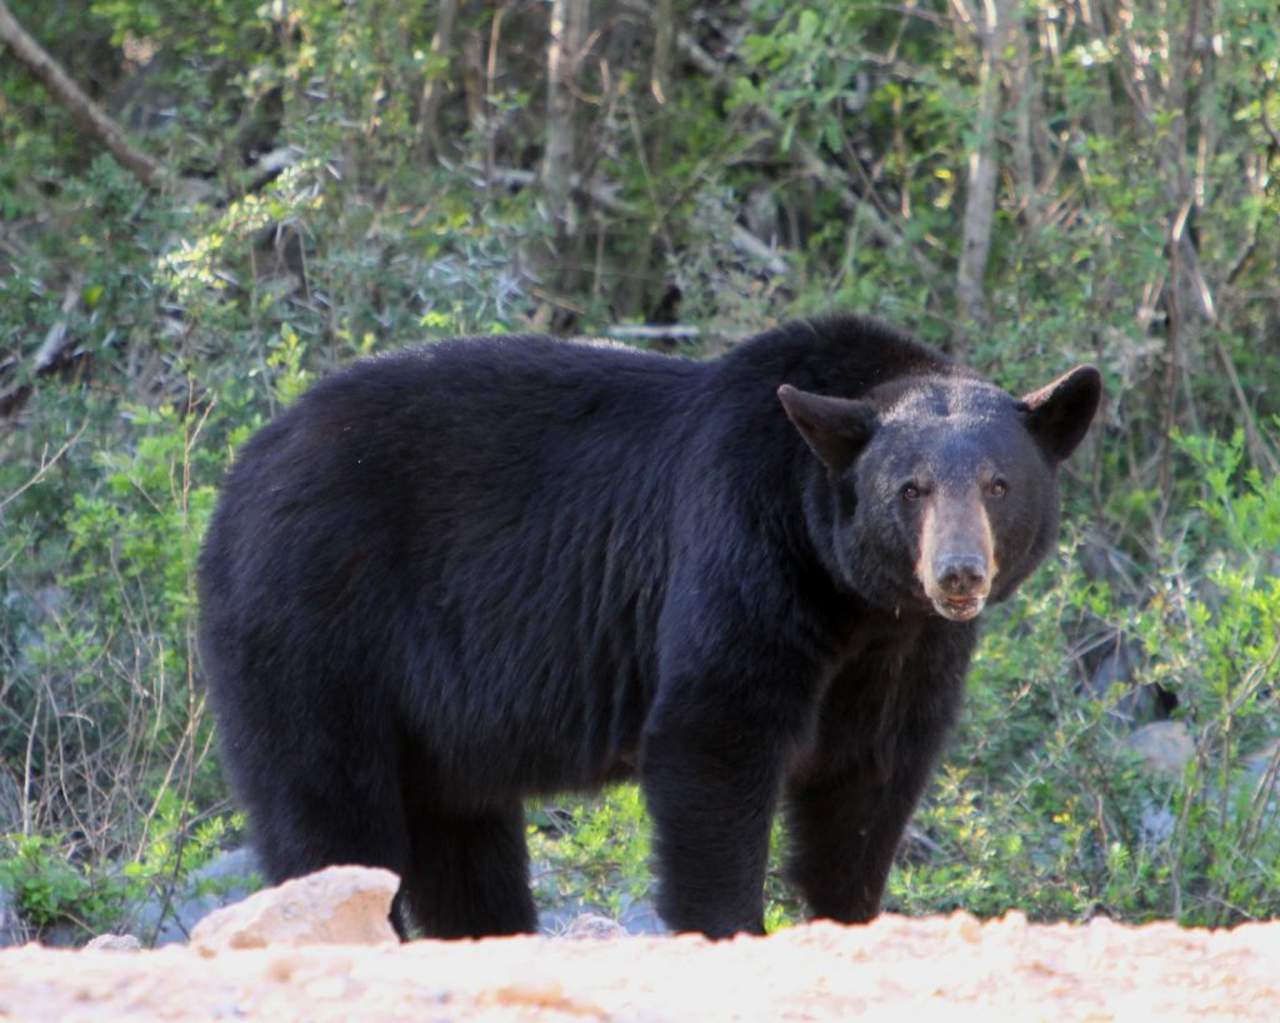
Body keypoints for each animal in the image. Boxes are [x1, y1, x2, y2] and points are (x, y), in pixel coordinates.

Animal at [199, 316, 1100, 942]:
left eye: (998, 483)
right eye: (911, 488)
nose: (958, 573)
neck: (851, 597)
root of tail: (239, 473)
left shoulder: (905, 653)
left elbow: (869, 781)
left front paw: (848, 912)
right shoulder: (740, 547)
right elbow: (714, 734)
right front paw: (731, 922)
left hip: (435, 719)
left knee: (464, 840)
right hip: (313, 620)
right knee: (326, 807)